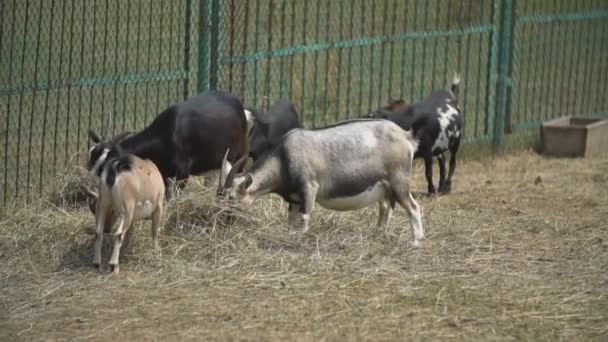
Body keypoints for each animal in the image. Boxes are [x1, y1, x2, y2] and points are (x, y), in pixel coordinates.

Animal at [86, 90, 248, 192]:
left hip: (239, 156)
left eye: (108, 164)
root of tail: (238, 104)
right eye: (91, 158)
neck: (164, 136)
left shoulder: (183, 173)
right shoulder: (163, 173)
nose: (88, 183)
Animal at [86, 146, 165, 274]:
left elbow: (129, 233)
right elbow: (154, 231)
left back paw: (97, 264)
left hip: (103, 204)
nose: (108, 229)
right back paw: (114, 266)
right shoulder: (158, 206)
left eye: (113, 212)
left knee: (98, 232)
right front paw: (157, 252)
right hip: (126, 210)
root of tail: (115, 169)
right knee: (118, 234)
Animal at [217, 118, 422, 246]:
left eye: (232, 198)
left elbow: (304, 217)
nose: (224, 222)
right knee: (386, 207)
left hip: (399, 180)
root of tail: (406, 137)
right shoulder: (294, 198)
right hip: (384, 187)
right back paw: (378, 234)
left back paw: (416, 242)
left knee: (414, 207)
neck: (282, 158)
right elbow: (291, 221)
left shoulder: (309, 187)